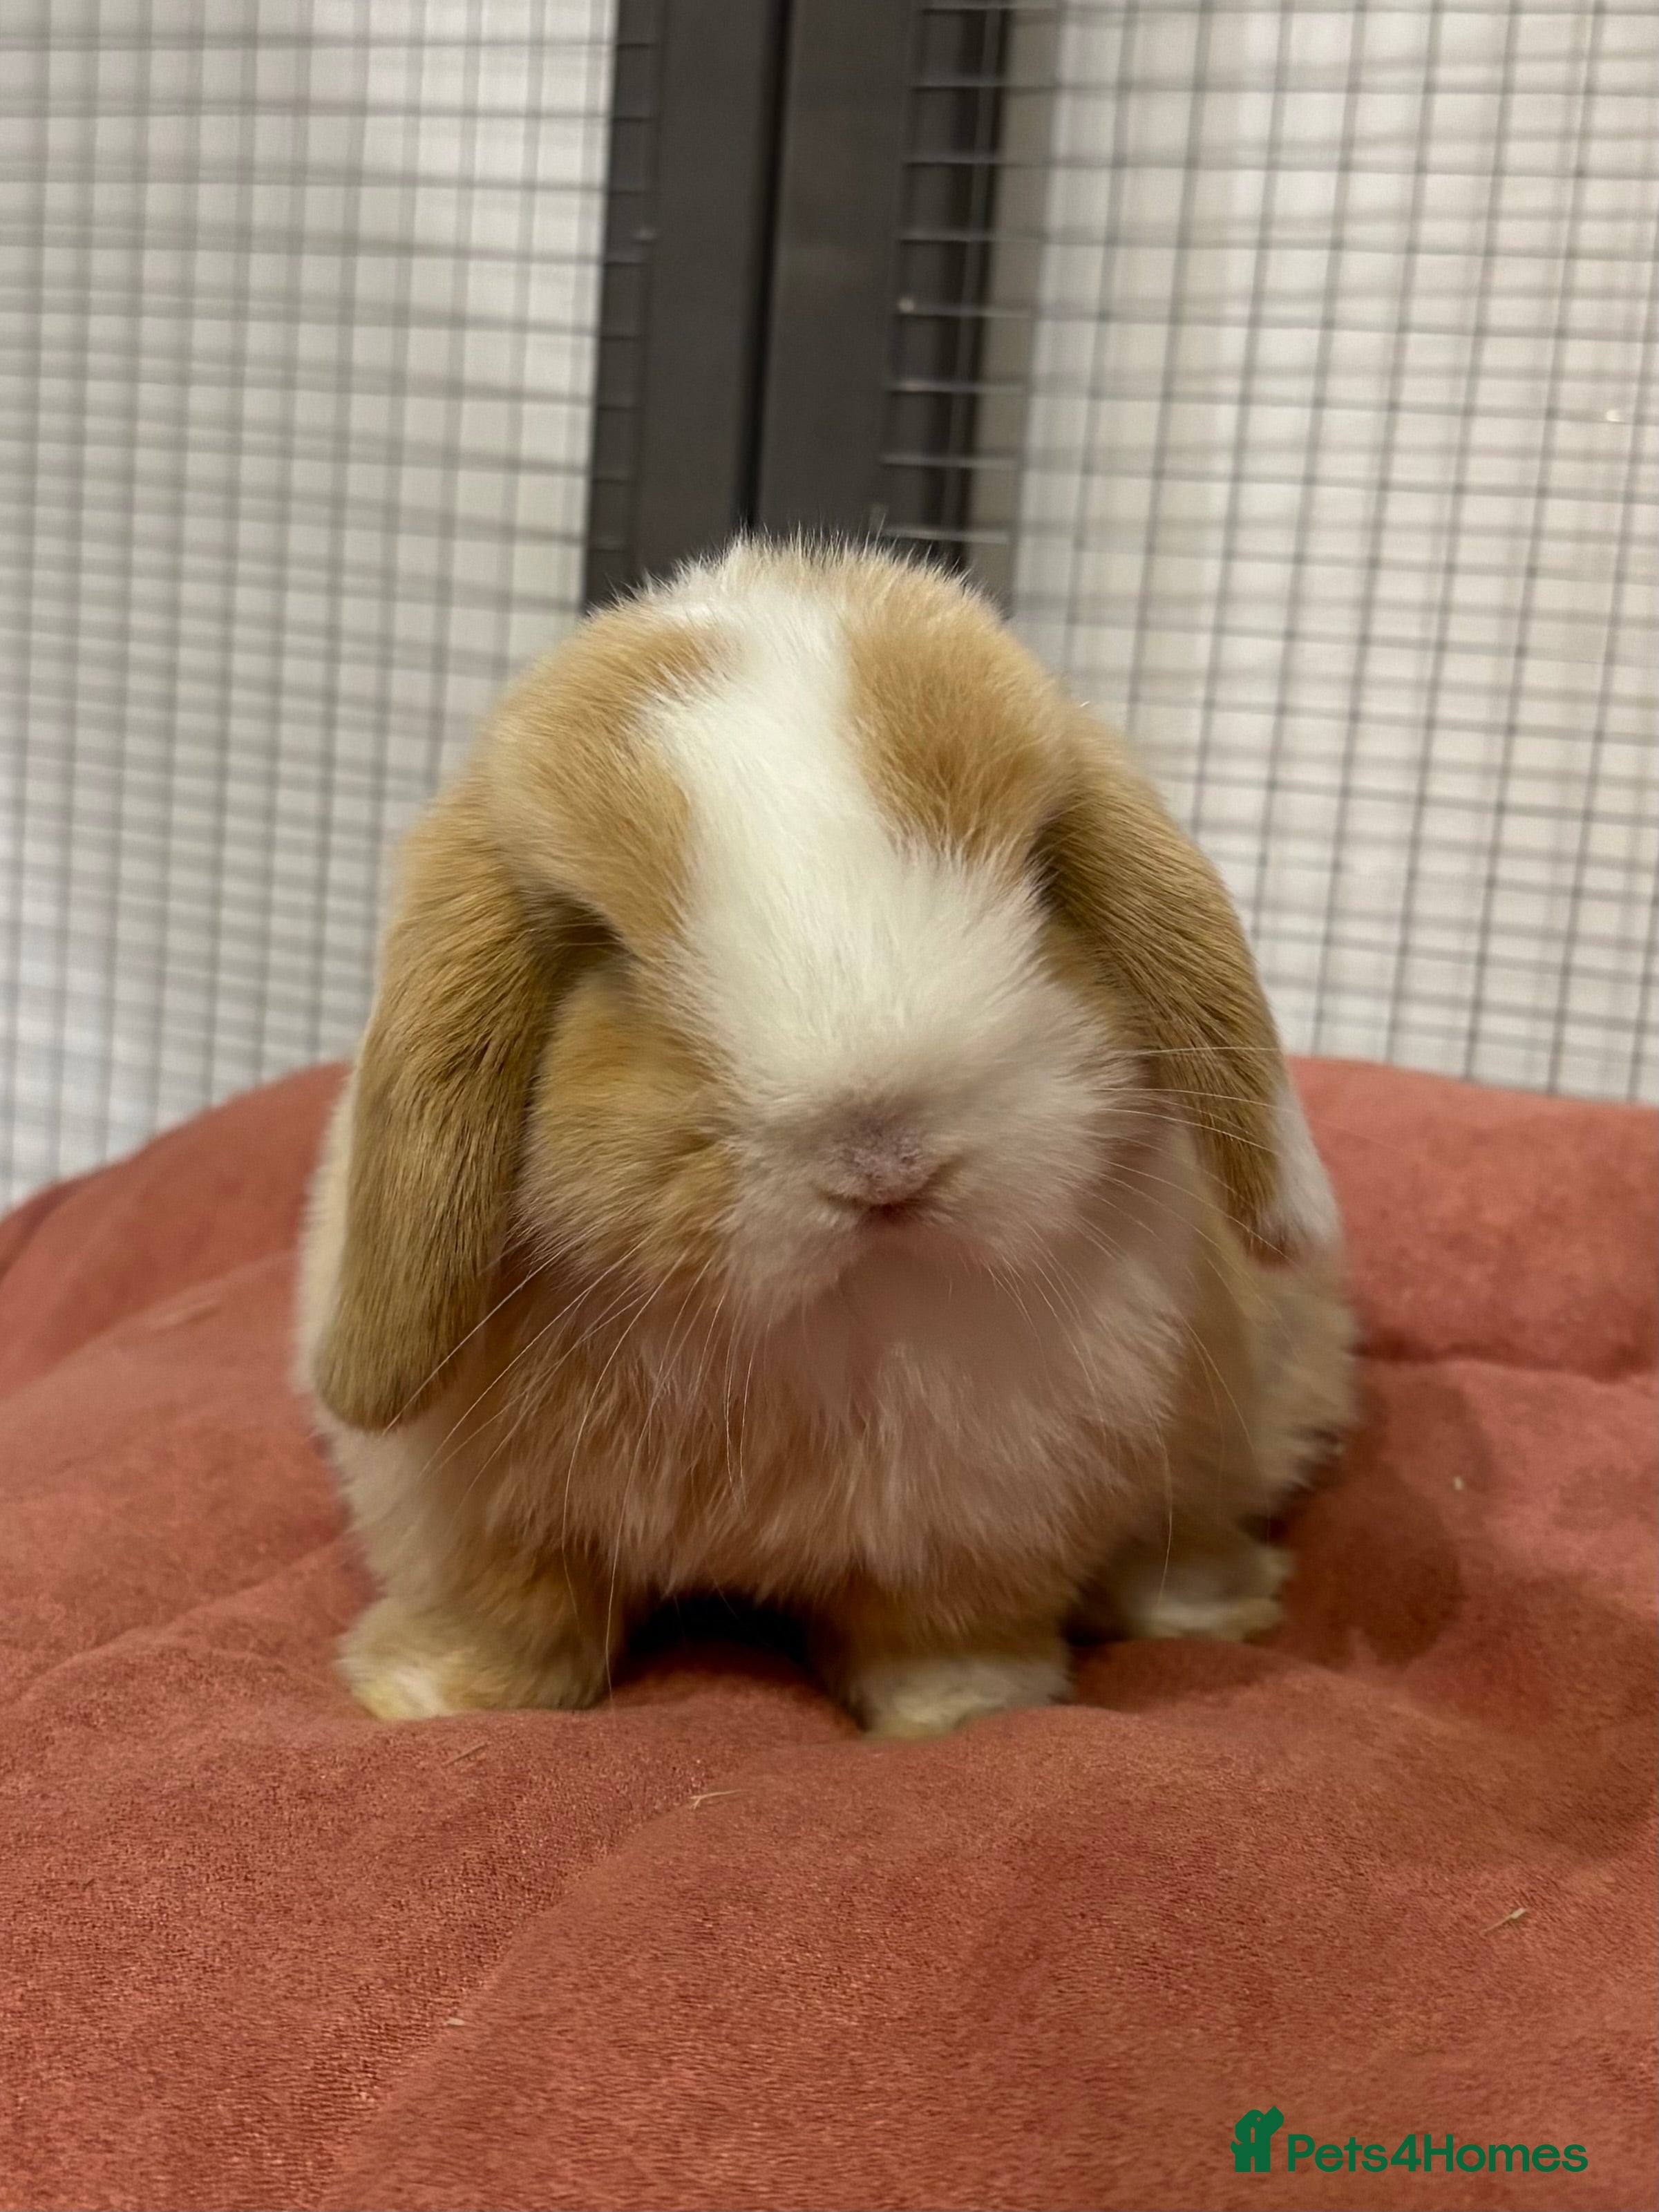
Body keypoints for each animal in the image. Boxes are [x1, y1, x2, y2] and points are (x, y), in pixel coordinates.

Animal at [297, 539, 1354, 1738]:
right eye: (601, 947)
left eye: (1040, 877)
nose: (886, 1156)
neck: (826, 1318)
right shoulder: (480, 1512)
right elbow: (512, 1607)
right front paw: (427, 1698)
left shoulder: (979, 1515)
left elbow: (943, 1622)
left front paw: (960, 1710)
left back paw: (1203, 1606)